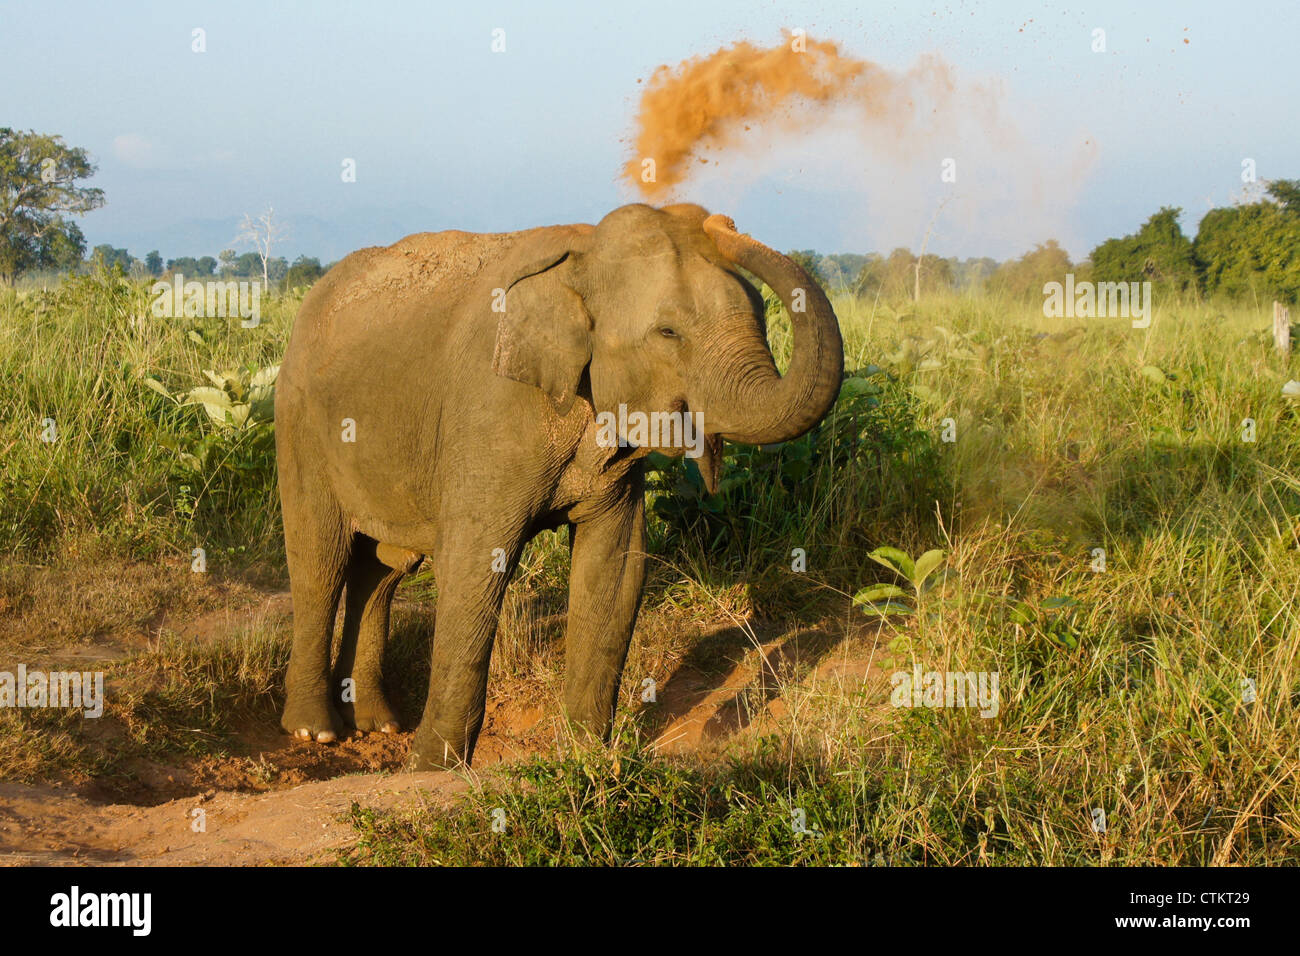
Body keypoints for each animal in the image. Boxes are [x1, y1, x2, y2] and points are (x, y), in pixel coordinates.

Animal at [274, 201, 842, 770]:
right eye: (668, 333)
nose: (718, 220)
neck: (583, 256)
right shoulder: (490, 410)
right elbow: (474, 563)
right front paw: (433, 767)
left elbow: (616, 567)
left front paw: (587, 754)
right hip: (299, 420)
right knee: (320, 560)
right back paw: (314, 732)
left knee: (385, 567)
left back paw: (378, 723)